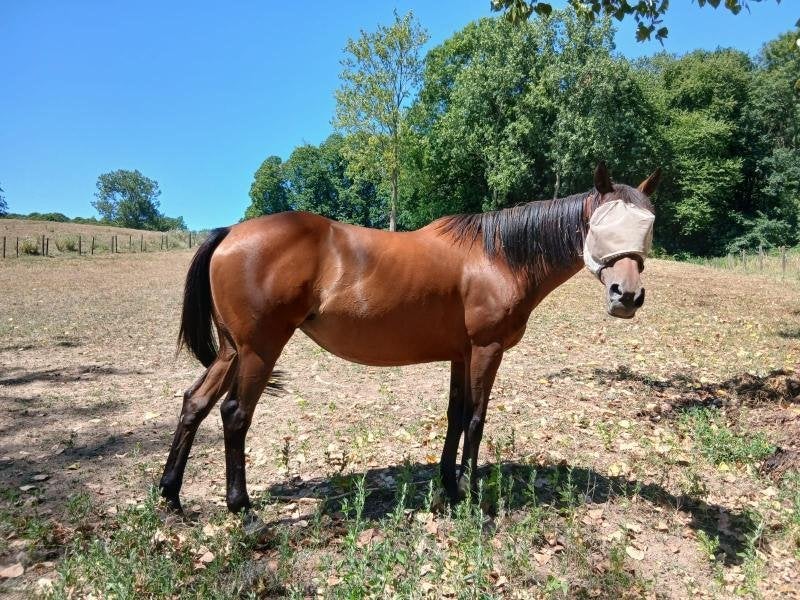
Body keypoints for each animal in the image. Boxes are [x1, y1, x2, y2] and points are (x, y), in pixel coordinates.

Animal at [159, 162, 659, 514]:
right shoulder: (487, 350)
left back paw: (170, 495)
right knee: (234, 414)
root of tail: (229, 234)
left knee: (194, 403)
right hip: (259, 349)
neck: (498, 257)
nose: (627, 295)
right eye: (601, 224)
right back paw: (241, 507)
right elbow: (476, 420)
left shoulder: (461, 354)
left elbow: (455, 416)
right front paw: (470, 494)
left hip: (231, 350)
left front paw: (448, 486)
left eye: (648, 225)